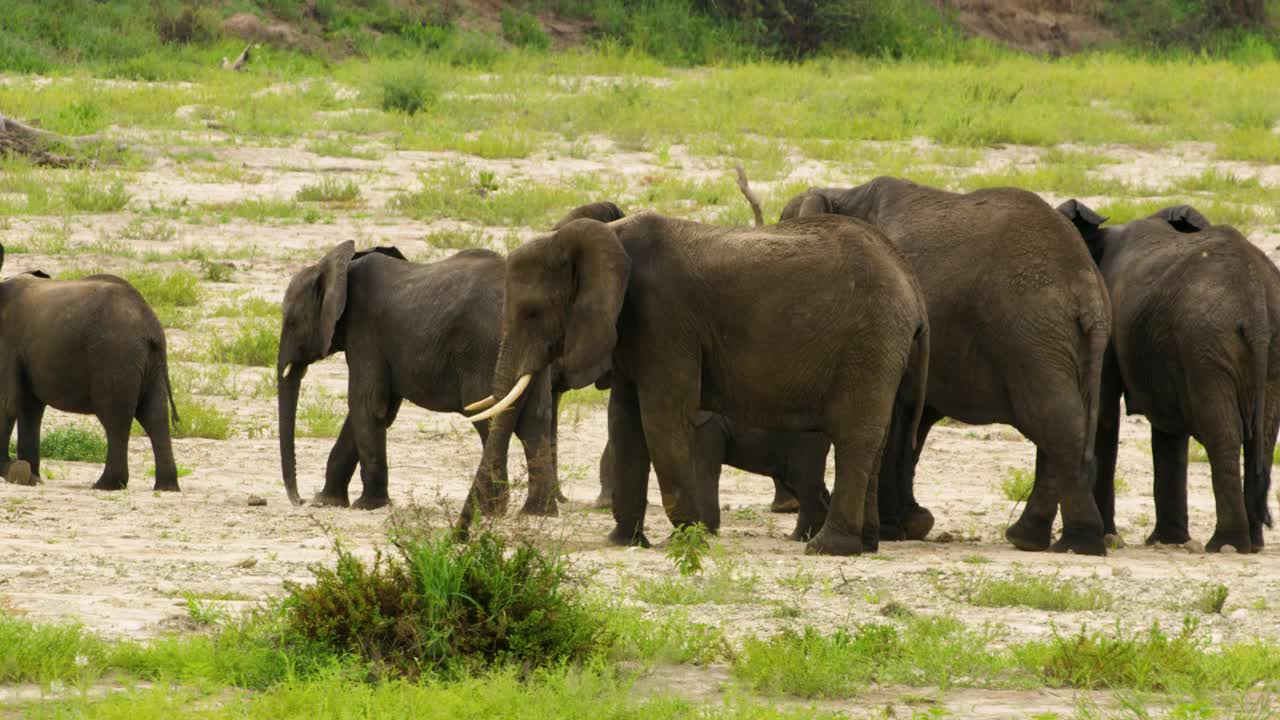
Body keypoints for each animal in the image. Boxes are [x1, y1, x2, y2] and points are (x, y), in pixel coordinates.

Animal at [0, 243, 180, 489]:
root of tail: (149, 324)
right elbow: (29, 407)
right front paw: (29, 476)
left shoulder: (8, 344)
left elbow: (7, 402)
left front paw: (12, 471)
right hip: (150, 363)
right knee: (154, 416)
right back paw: (166, 486)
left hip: (114, 356)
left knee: (115, 418)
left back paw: (106, 485)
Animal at [277, 240, 558, 509]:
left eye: (291, 322)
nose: (299, 500)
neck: (341, 268)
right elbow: (379, 409)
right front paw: (326, 502)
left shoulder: (365, 333)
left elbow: (366, 404)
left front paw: (366, 506)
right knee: (536, 420)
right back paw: (535, 512)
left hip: (485, 349)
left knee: (490, 419)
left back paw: (491, 509)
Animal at [465, 210, 926, 550]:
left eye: (531, 313)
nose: (462, 536)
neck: (607, 238)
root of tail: (909, 279)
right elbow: (624, 419)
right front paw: (623, 541)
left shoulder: (664, 319)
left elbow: (661, 416)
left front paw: (686, 537)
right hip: (882, 348)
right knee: (878, 438)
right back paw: (866, 545)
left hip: (869, 341)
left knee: (855, 436)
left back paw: (828, 548)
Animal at [778, 176, 1111, 550]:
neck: (843, 194)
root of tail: (1088, 286)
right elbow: (912, 423)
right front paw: (912, 525)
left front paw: (895, 530)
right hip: (1064, 343)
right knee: (1060, 423)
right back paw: (1029, 539)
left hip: (1032, 332)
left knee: (1054, 421)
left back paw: (1075, 543)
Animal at [1054, 198, 1274, 550]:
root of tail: (1255, 306)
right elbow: (1169, 432)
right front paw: (1167, 540)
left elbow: (1104, 414)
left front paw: (1108, 536)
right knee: (1262, 441)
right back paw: (1252, 543)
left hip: (1206, 341)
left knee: (1223, 436)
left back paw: (1226, 544)